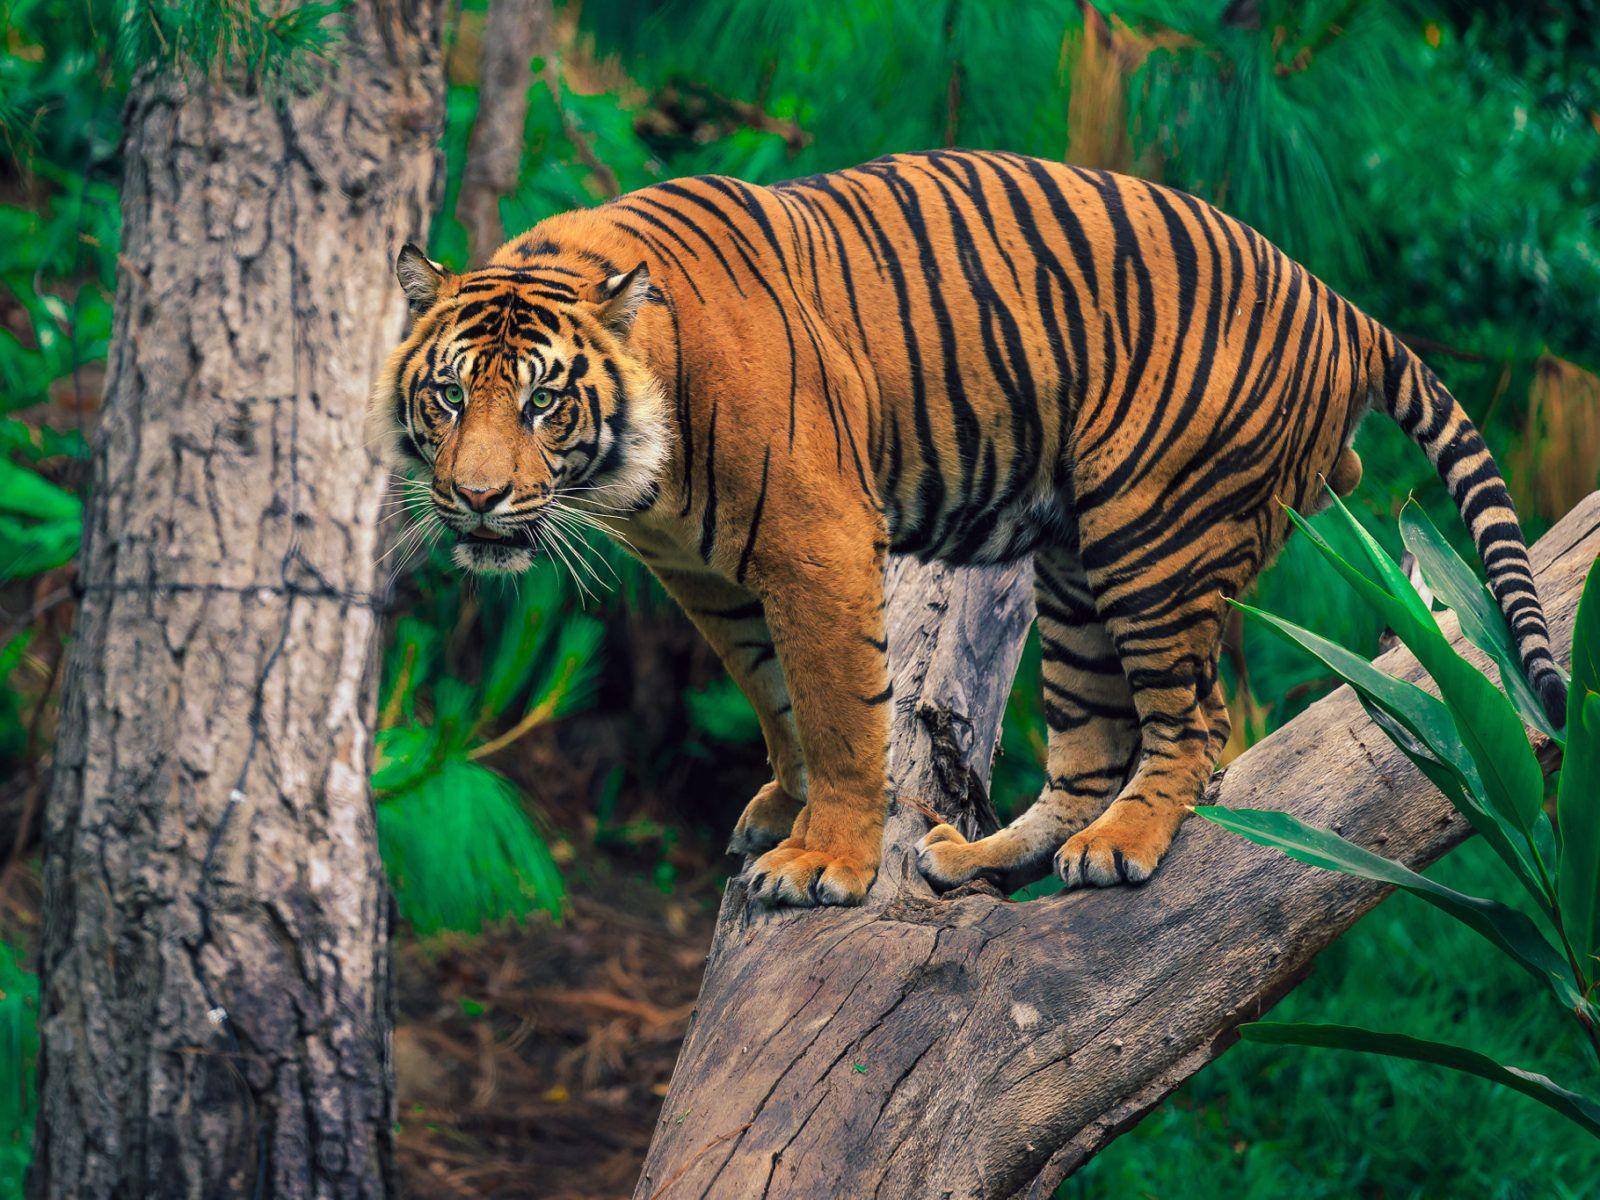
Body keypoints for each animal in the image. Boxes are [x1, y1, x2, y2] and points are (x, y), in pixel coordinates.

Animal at [371, 149, 1565, 908]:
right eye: (449, 396)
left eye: (542, 401)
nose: (476, 499)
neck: (640, 486)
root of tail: (1339, 302)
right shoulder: (709, 580)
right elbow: (774, 697)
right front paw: (785, 809)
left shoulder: (813, 544)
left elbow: (840, 712)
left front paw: (825, 862)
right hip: (1076, 573)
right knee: (1091, 749)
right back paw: (988, 854)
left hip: (1153, 538)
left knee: (1195, 725)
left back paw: (1122, 846)